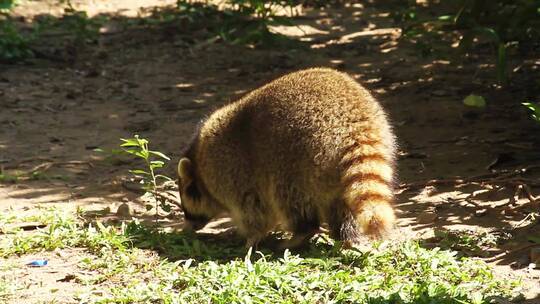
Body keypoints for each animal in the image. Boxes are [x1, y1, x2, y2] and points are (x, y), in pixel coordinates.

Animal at [177, 67, 396, 248]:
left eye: (189, 193)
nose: (187, 227)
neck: (200, 164)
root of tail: (354, 125)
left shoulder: (233, 172)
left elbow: (255, 212)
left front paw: (250, 238)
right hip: (334, 168)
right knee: (340, 204)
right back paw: (345, 235)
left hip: (296, 159)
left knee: (289, 199)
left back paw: (301, 233)